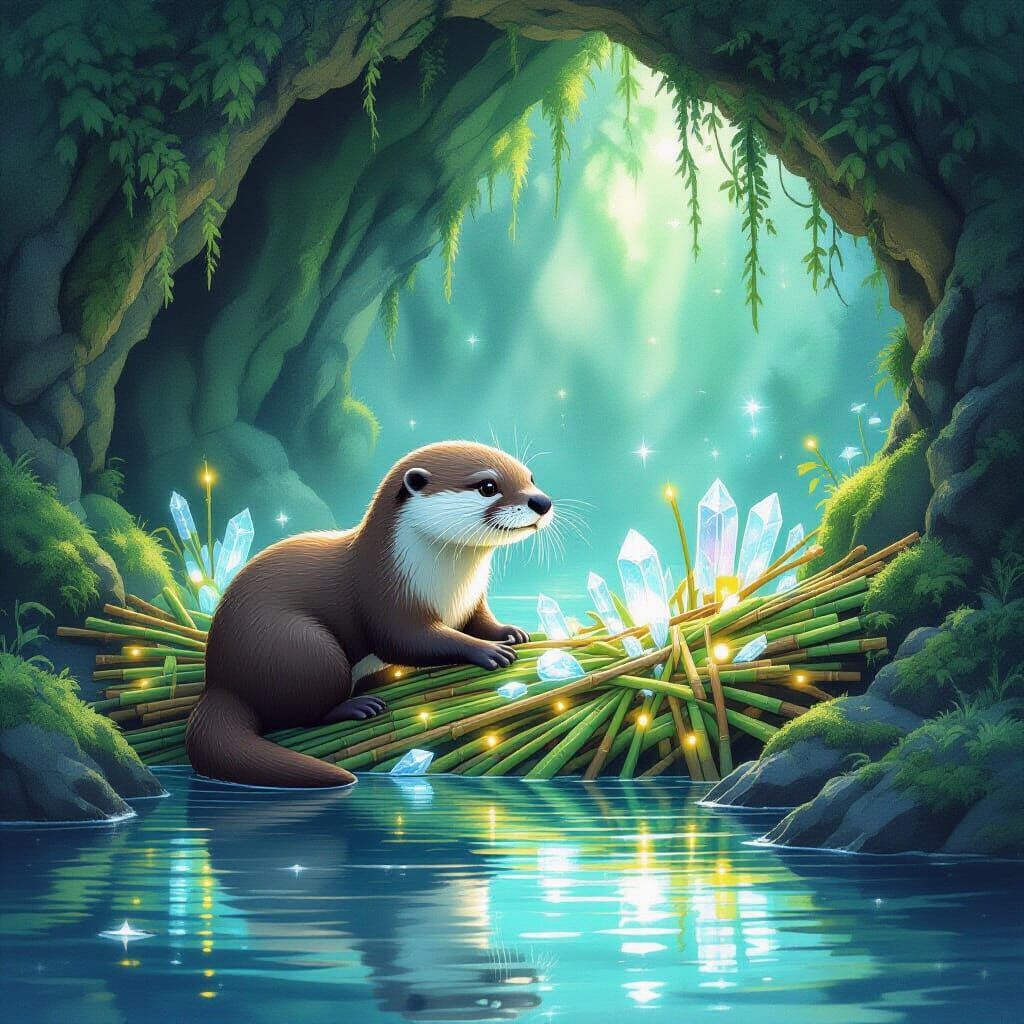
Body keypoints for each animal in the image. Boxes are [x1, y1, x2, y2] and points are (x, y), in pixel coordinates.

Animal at [186, 441, 553, 788]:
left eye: (531, 478)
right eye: (488, 486)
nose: (542, 502)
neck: (450, 586)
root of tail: (220, 681)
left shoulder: (472, 600)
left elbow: (480, 621)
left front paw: (509, 631)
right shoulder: (385, 595)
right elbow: (407, 640)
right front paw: (486, 650)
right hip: (299, 647)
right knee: (300, 713)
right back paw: (355, 707)